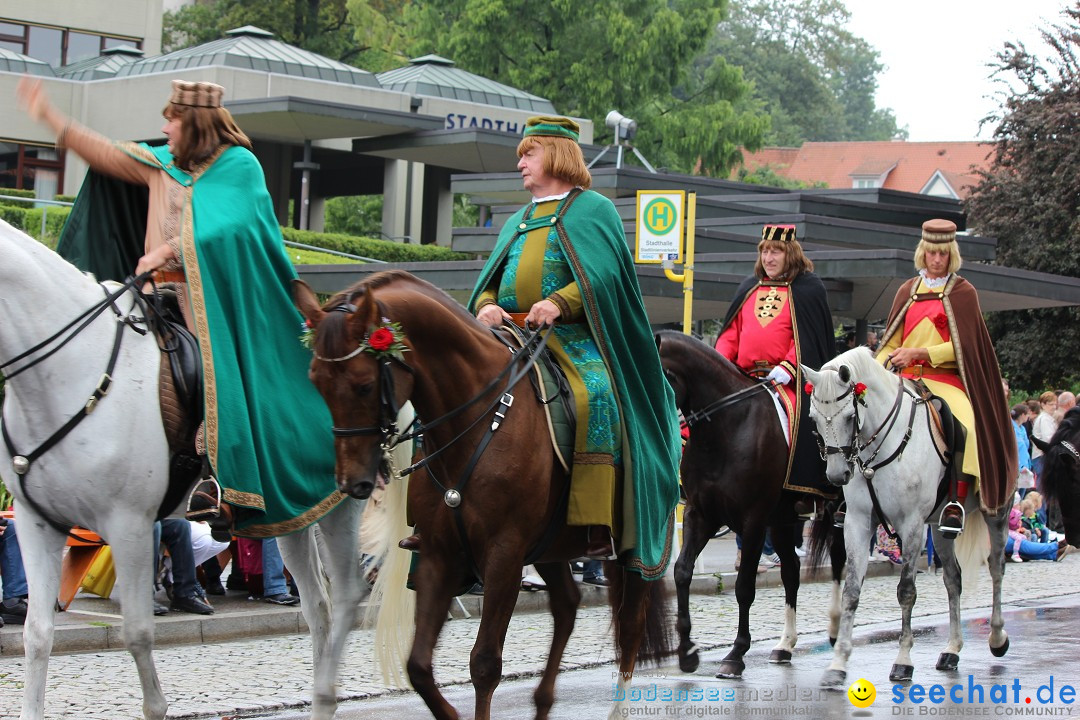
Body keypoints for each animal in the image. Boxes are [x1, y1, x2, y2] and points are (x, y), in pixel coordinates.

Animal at [0, 220, 401, 720]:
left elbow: (137, 633)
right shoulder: (37, 524)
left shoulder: (128, 526)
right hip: (291, 518)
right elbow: (36, 635)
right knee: (319, 607)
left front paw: (156, 706)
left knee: (347, 595)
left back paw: (327, 694)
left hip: (342, 506)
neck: (70, 373)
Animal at [291, 269, 669, 720]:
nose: (352, 483)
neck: (479, 418)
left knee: (630, 625)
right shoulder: (439, 554)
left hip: (639, 544)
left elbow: (485, 664)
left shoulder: (503, 555)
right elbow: (418, 666)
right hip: (550, 547)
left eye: (364, 385)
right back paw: (542, 703)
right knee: (567, 604)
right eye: (315, 381)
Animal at [648, 332, 842, 682]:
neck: (727, 427)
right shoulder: (700, 515)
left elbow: (744, 587)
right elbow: (682, 572)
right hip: (783, 522)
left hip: (842, 509)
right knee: (791, 571)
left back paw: (835, 630)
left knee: (840, 563)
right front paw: (687, 651)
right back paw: (785, 645)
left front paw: (736, 654)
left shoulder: (752, 521)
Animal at [803, 347, 1010, 686]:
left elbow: (907, 592)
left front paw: (902, 661)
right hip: (940, 528)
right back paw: (952, 650)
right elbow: (851, 591)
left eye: (849, 417)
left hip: (997, 511)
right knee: (953, 578)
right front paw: (838, 663)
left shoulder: (911, 525)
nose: (836, 475)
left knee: (996, 567)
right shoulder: (857, 523)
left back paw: (997, 636)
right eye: (814, 419)